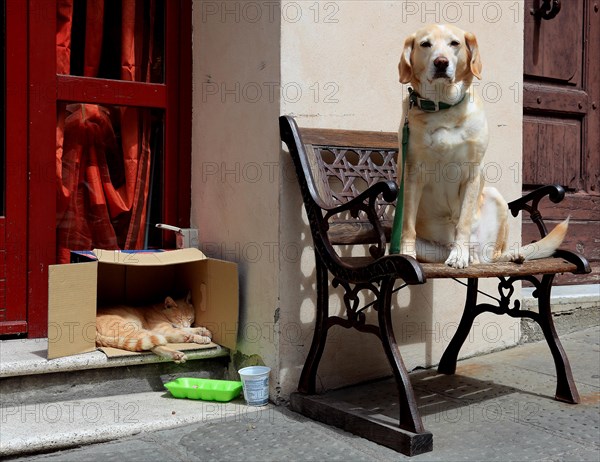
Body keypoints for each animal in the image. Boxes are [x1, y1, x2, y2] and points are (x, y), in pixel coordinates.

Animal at [398, 25, 568, 268]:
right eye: (425, 44)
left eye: (454, 43)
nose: (441, 62)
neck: (443, 108)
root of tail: (477, 254)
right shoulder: (412, 174)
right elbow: (408, 225)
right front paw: (405, 254)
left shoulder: (471, 174)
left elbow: (463, 222)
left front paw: (458, 255)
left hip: (495, 197)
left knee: (493, 255)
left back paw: (508, 255)